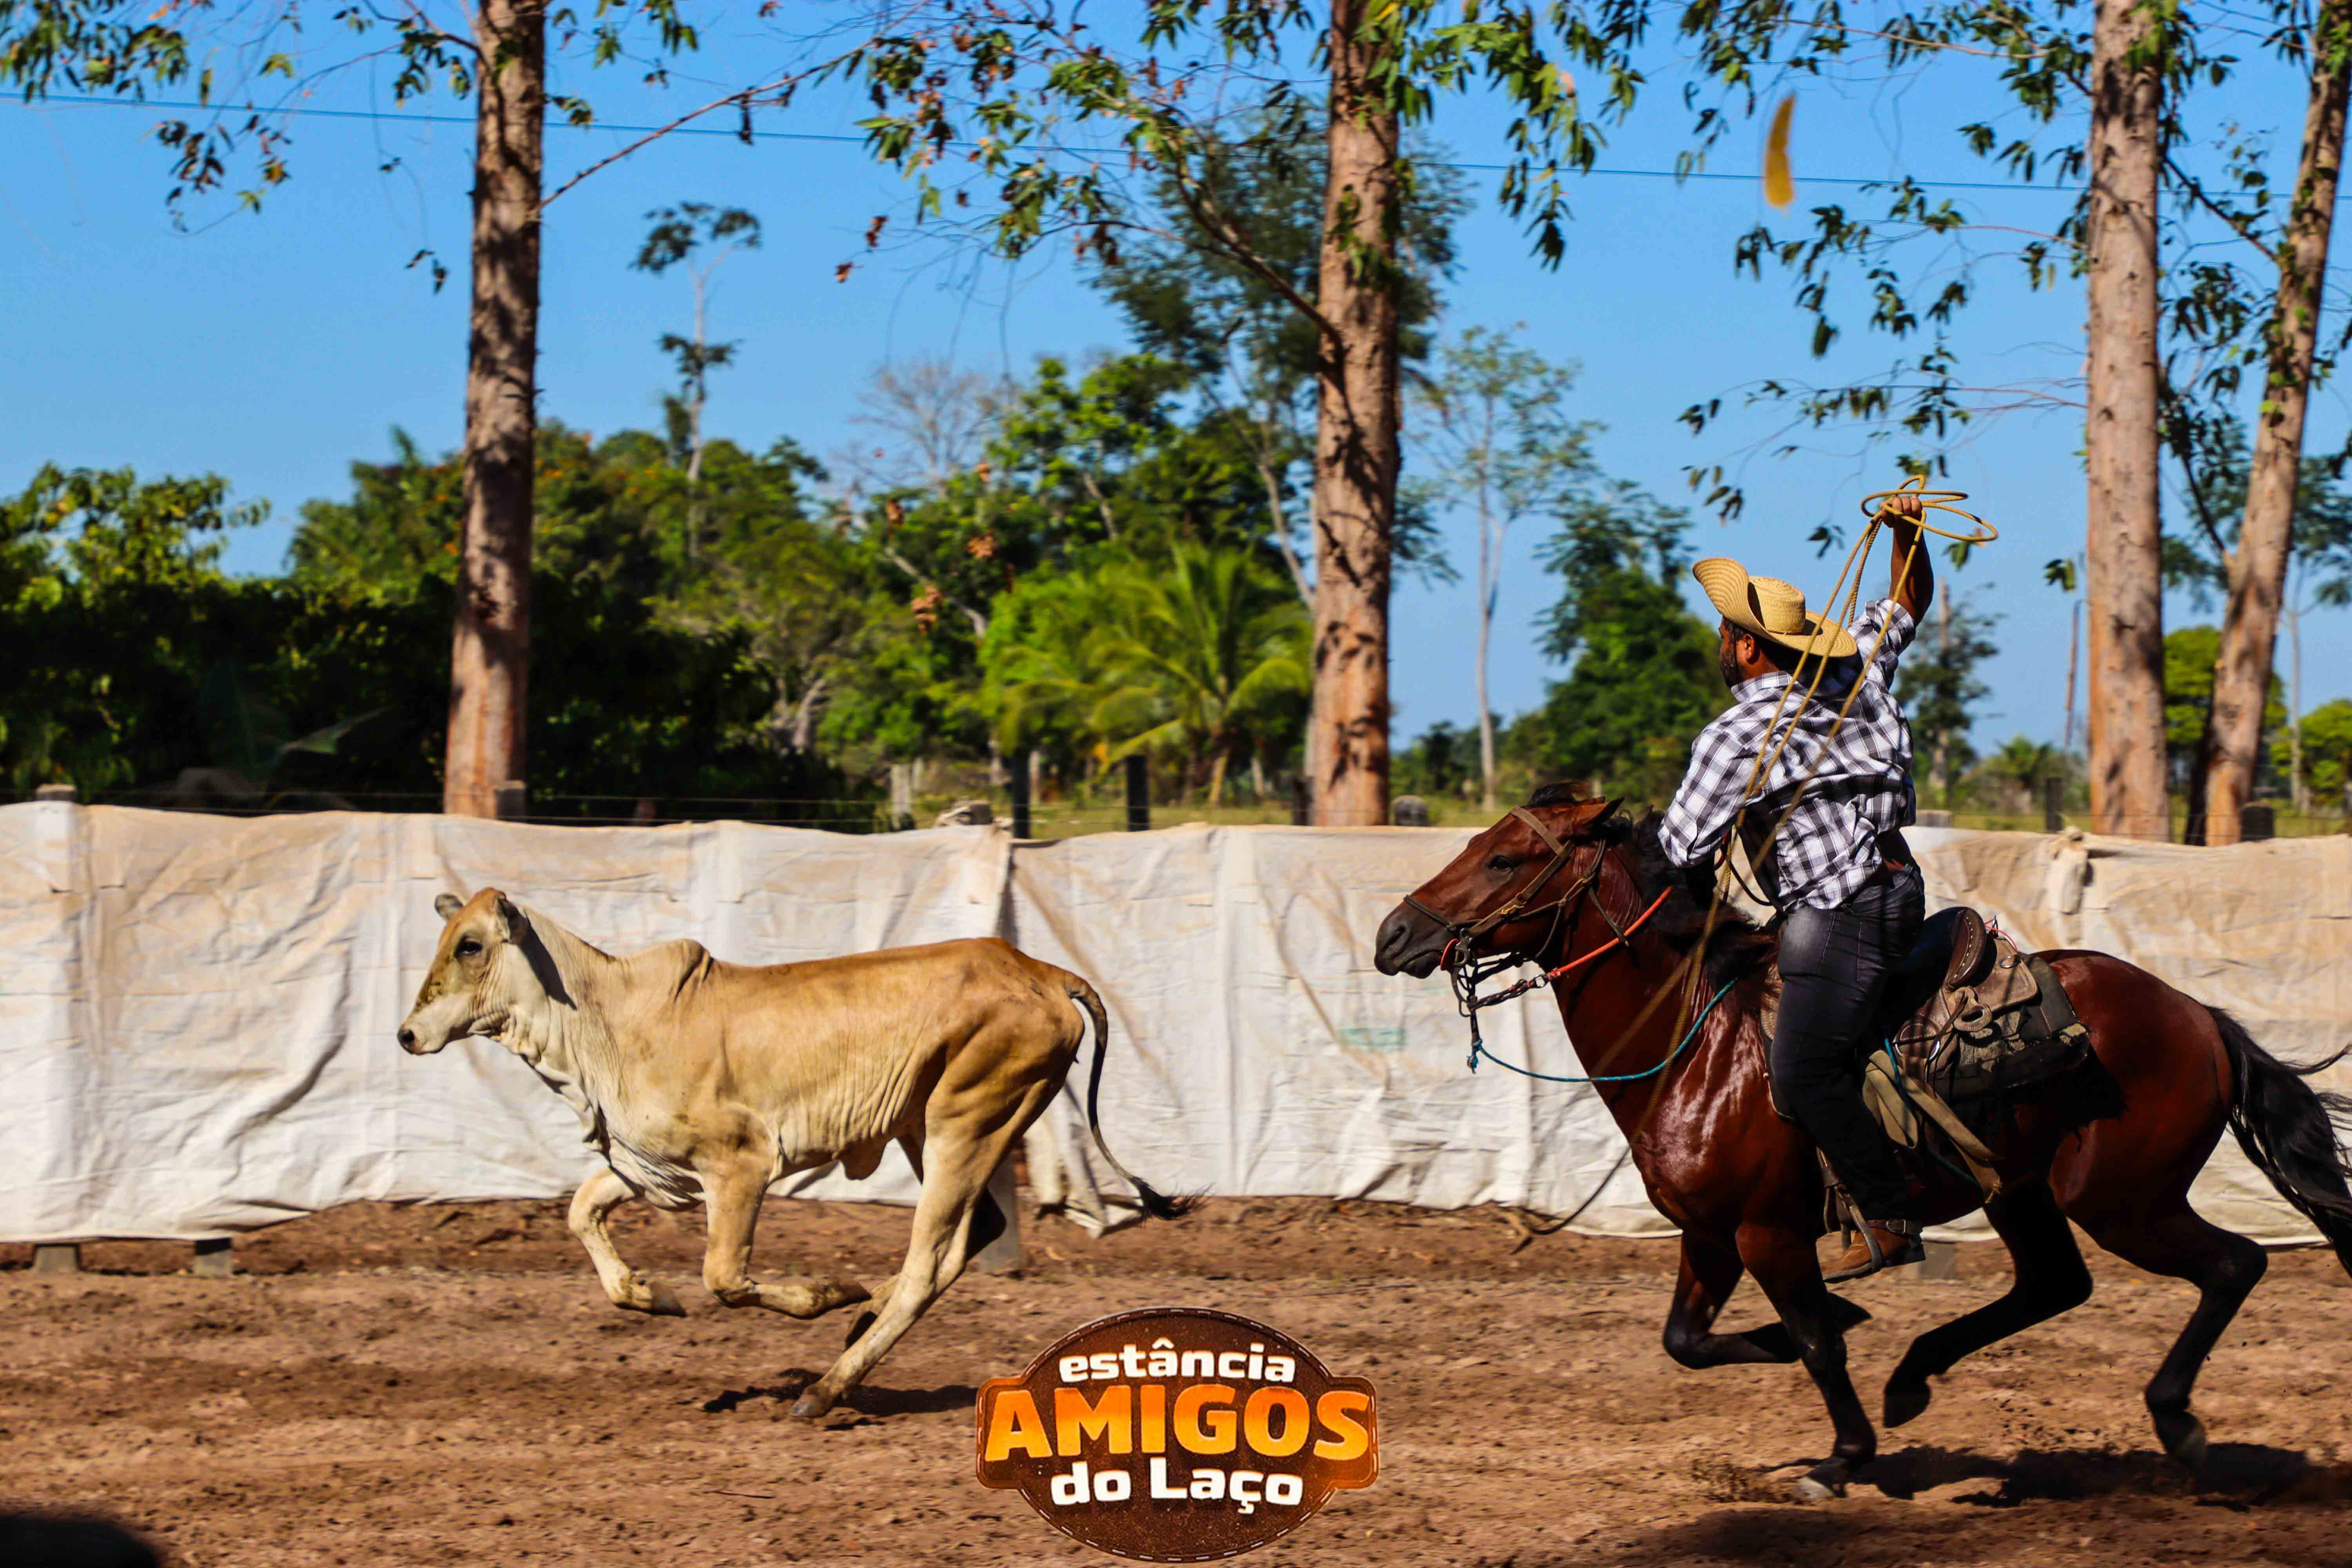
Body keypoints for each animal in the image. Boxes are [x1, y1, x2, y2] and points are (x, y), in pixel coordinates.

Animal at [396, 888, 1182, 1417]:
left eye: (471, 945)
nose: (407, 1034)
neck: (603, 1021)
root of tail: (1042, 970)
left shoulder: (740, 1165)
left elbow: (724, 1276)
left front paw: (827, 1293)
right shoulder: (652, 1169)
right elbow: (583, 1214)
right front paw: (652, 1296)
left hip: (964, 1121)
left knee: (929, 1263)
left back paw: (830, 1384)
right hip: (932, 1129)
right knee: (968, 1238)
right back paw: (858, 1329)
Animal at [1372, 789, 2352, 1501]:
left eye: (1505, 857)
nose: (1394, 934)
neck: (1698, 1041)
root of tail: (2200, 1016)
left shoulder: (1768, 1230)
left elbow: (1815, 1341)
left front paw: (1840, 1456)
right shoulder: (1708, 1233)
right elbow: (1688, 1339)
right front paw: (1832, 1347)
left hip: (2125, 1200)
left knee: (2232, 1265)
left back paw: (2177, 1421)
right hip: (2024, 1188)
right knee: (2055, 1283)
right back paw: (1916, 1376)